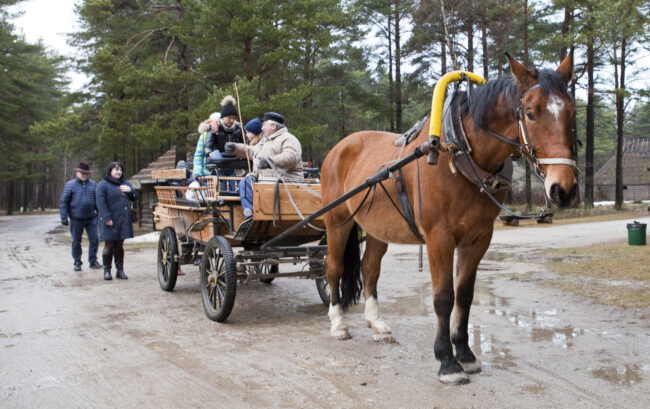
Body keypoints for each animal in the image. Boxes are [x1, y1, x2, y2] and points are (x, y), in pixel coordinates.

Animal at [318, 52, 576, 384]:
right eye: (530, 113)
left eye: (571, 111)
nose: (563, 189)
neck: (460, 152)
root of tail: (341, 146)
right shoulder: (438, 237)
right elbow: (443, 297)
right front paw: (446, 361)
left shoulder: (478, 238)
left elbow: (464, 294)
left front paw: (464, 353)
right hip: (337, 221)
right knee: (334, 268)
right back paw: (338, 323)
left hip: (377, 228)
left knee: (369, 269)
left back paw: (377, 324)